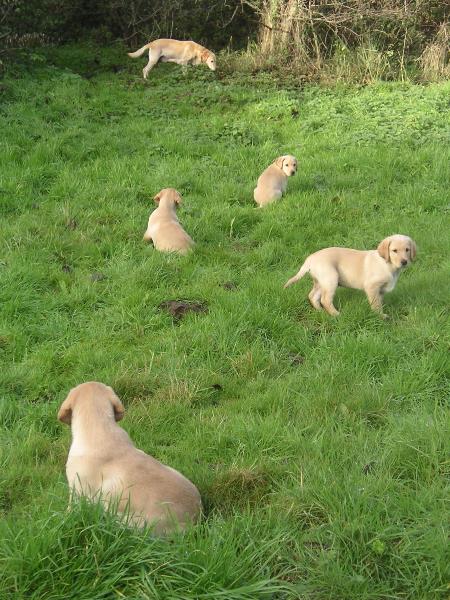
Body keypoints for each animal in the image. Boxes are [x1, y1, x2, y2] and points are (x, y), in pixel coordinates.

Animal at [286, 234, 416, 318]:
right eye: (394, 250)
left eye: (407, 250)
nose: (404, 262)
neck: (388, 264)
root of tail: (310, 258)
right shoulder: (372, 286)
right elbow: (376, 304)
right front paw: (380, 316)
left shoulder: (381, 290)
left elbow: (379, 301)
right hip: (331, 278)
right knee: (325, 300)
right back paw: (336, 315)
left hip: (321, 281)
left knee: (313, 296)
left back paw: (321, 312)